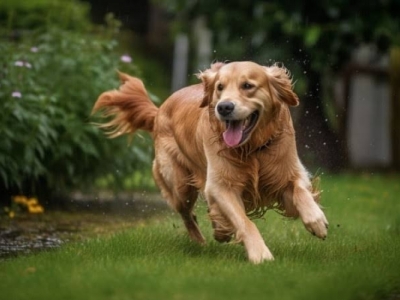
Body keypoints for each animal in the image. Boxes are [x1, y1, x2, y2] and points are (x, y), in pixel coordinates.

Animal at [93, 62, 328, 264]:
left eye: (247, 86)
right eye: (220, 87)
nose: (224, 107)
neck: (252, 149)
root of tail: (159, 111)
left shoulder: (286, 174)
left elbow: (300, 191)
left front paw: (316, 220)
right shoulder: (221, 185)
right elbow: (244, 221)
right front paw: (260, 254)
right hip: (180, 184)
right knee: (186, 213)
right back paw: (201, 240)